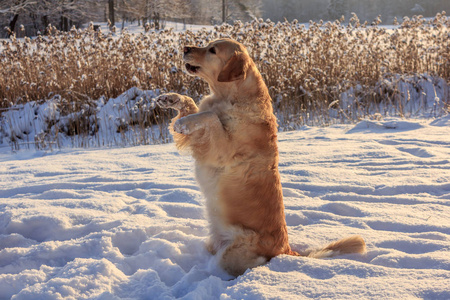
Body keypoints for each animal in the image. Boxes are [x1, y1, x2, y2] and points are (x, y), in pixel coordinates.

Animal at [155, 38, 366, 276]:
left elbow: (210, 117)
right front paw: (170, 98)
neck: (232, 97)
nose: (185, 48)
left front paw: (183, 122)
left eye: (212, 50)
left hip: (232, 254)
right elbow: (194, 105)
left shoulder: (220, 150)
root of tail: (285, 250)